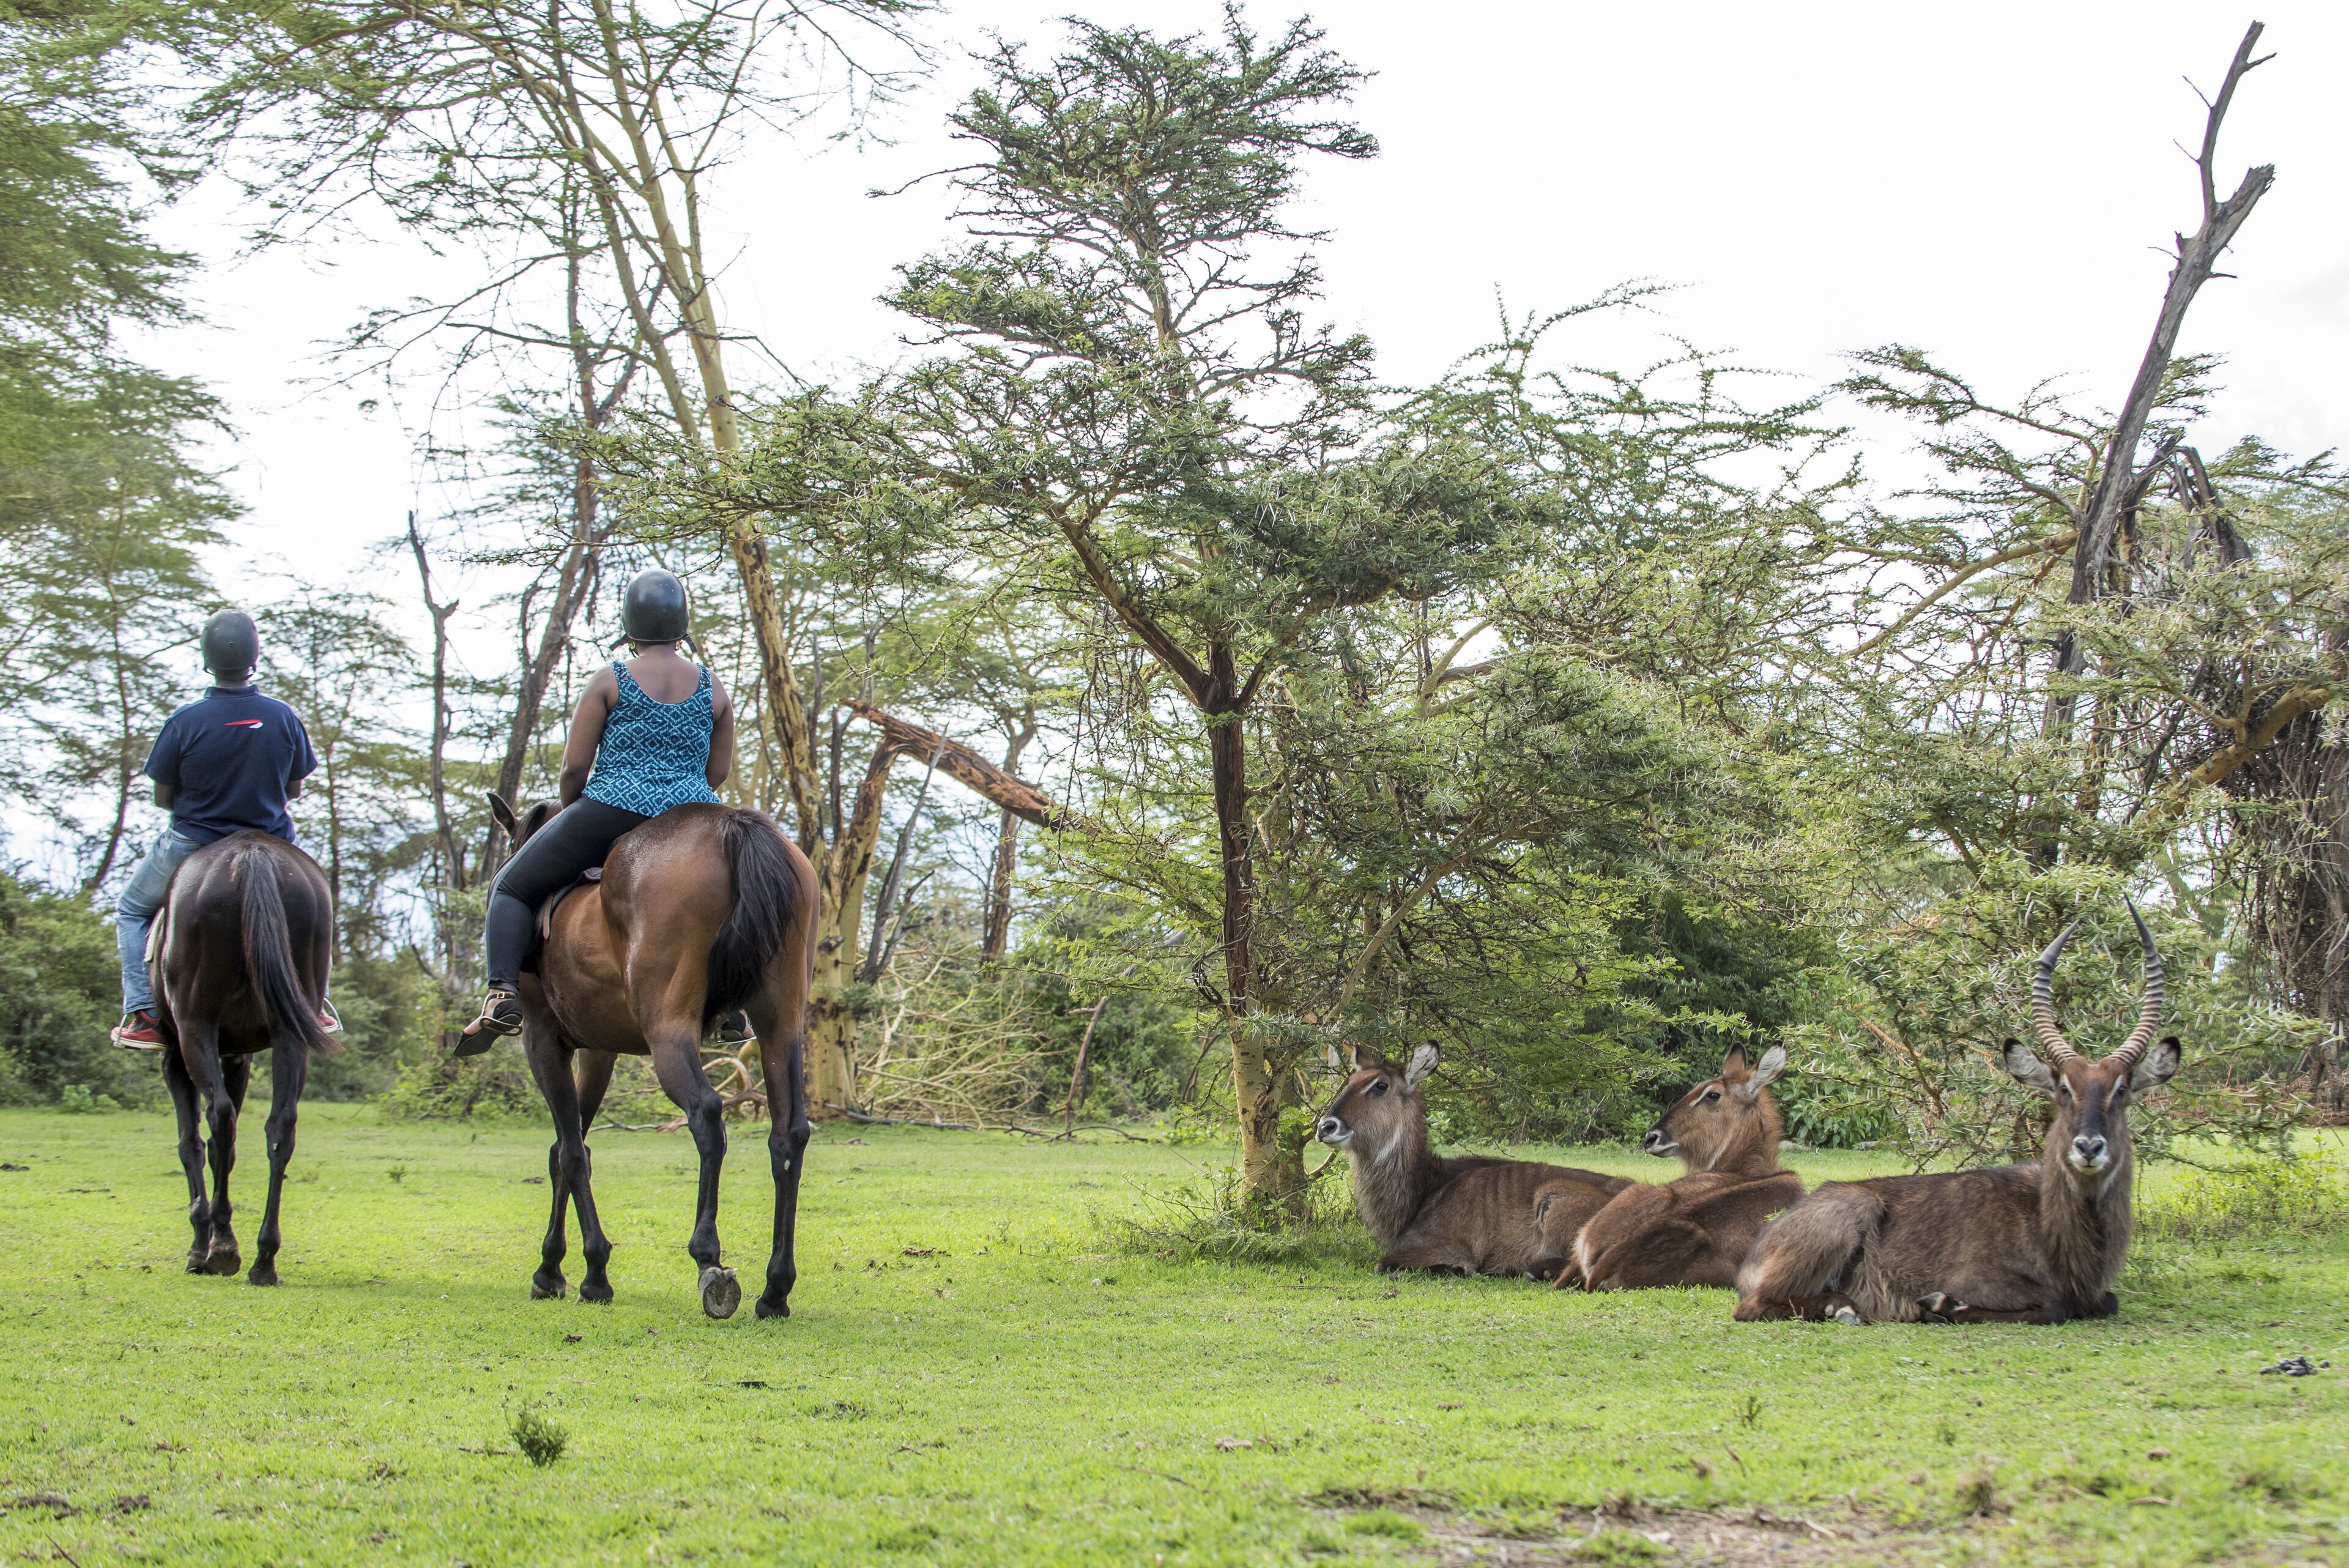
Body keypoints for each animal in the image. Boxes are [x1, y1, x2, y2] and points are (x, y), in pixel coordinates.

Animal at [150, 831, 337, 1285]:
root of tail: (253, 853)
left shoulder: (175, 1058)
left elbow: (192, 1144)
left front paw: (202, 1244)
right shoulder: (238, 1057)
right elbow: (227, 1149)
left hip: (194, 1027)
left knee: (218, 1116)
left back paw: (221, 1249)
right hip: (290, 1031)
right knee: (280, 1127)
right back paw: (264, 1259)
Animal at [487, 792, 818, 1319]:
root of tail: (733, 825)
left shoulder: (541, 1041)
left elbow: (570, 1153)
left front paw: (587, 1273)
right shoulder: (598, 1050)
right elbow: (568, 1149)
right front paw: (557, 1268)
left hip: (667, 1028)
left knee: (706, 1114)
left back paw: (709, 1260)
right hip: (781, 1026)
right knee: (790, 1135)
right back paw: (775, 1289)